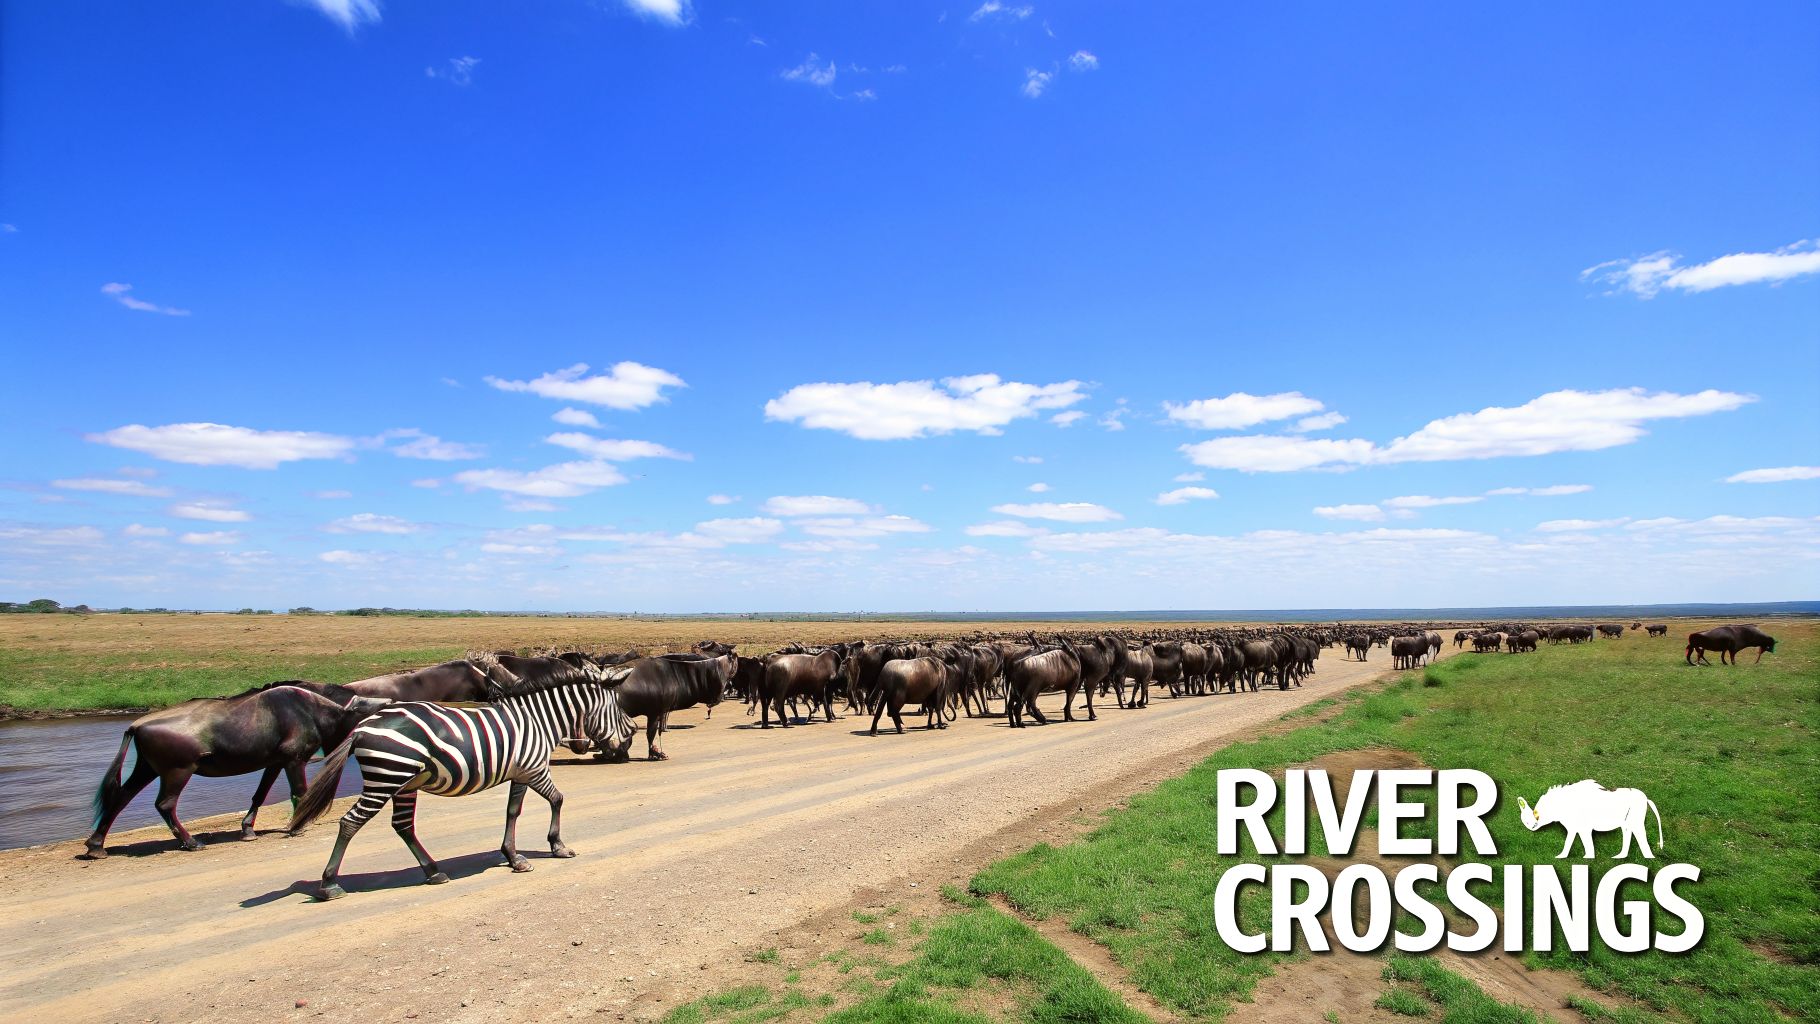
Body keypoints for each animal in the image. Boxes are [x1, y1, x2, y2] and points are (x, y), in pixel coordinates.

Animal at [288, 662, 634, 901]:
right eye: (618, 708)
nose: (627, 738)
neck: (538, 720)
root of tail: (360, 728)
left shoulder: (521, 772)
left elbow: (512, 812)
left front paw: (513, 857)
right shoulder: (535, 769)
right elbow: (557, 799)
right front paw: (558, 846)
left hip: (404, 782)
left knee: (403, 826)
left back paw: (433, 871)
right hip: (387, 777)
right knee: (350, 822)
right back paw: (329, 884)